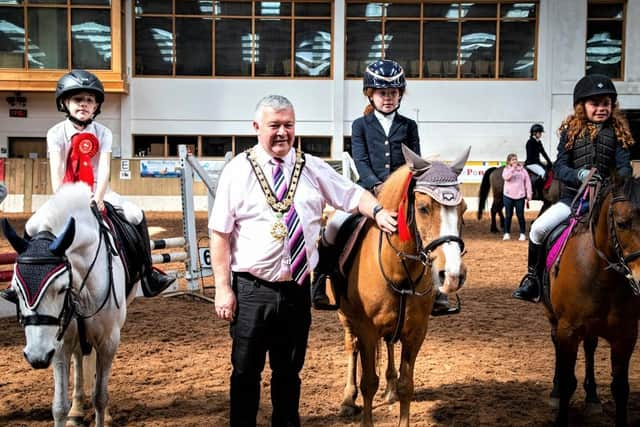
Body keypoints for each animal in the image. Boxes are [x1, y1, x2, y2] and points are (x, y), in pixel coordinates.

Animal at [2, 185, 136, 427]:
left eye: (62, 288)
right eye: (16, 292)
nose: (36, 356)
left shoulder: (109, 340)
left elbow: (100, 397)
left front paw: (103, 414)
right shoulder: (58, 343)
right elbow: (59, 406)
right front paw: (70, 409)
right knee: (80, 358)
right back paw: (77, 409)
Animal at [338, 145, 468, 426]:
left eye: (463, 209)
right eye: (423, 207)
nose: (452, 275)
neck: (399, 272)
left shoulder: (416, 331)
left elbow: (407, 385)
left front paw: (397, 390)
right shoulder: (366, 330)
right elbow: (368, 382)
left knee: (388, 344)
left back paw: (390, 389)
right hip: (346, 317)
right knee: (351, 347)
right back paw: (347, 400)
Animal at [544, 176, 640, 426]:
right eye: (622, 223)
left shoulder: (626, 335)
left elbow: (621, 388)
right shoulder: (568, 331)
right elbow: (568, 383)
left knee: (590, 347)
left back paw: (593, 398)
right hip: (553, 318)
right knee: (556, 343)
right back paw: (555, 393)